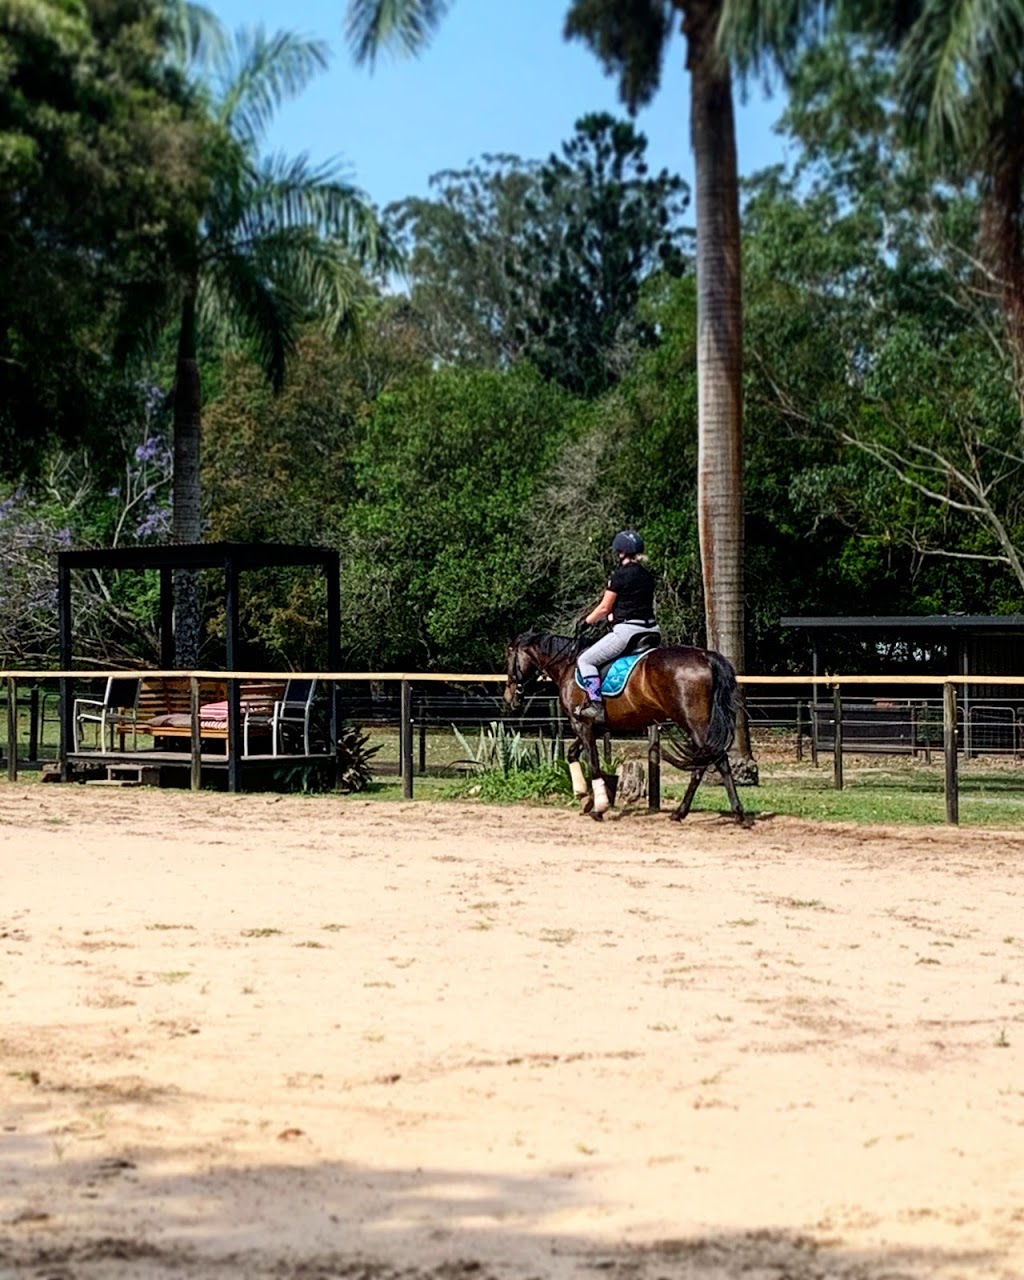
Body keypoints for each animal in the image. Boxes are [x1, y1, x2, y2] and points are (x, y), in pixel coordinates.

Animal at [501, 634, 742, 824]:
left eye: (509, 658)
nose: (509, 697)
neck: (567, 665)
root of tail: (704, 656)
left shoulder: (582, 724)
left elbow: (594, 764)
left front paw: (598, 807)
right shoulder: (595, 726)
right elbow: (571, 753)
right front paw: (584, 797)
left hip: (694, 723)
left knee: (716, 760)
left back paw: (727, 813)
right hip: (697, 726)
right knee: (710, 763)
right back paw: (695, 813)